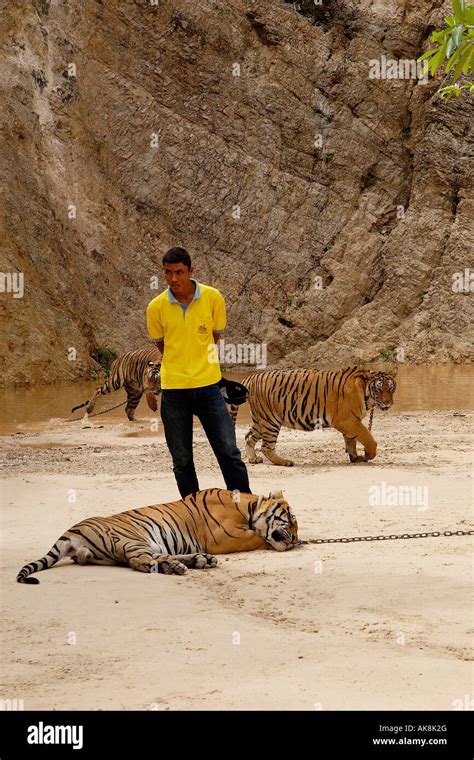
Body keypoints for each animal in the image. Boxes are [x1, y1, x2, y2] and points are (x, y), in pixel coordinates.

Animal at [16, 486, 298, 580]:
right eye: (291, 521)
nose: (297, 540)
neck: (247, 506)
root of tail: (72, 530)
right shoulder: (224, 538)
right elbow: (259, 537)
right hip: (132, 539)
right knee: (140, 561)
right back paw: (183, 566)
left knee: (153, 559)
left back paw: (198, 560)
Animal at [230, 366, 396, 466]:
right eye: (379, 389)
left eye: (391, 388)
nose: (388, 403)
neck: (367, 395)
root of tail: (251, 377)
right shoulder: (347, 421)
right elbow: (368, 439)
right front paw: (368, 455)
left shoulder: (351, 422)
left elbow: (351, 441)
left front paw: (355, 458)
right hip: (271, 420)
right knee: (266, 447)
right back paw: (285, 462)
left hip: (261, 420)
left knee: (248, 437)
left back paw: (253, 459)